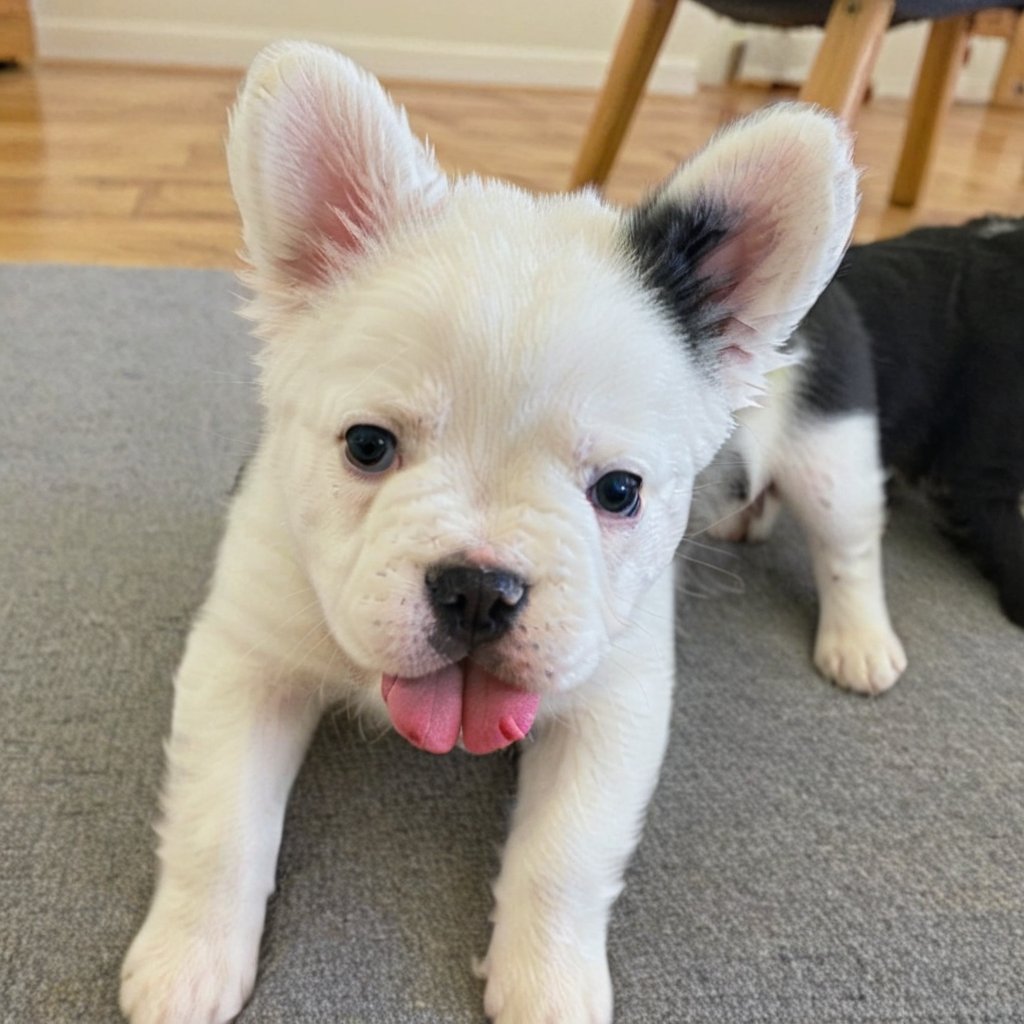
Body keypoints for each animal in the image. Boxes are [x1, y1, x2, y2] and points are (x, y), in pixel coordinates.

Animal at [117, 41, 856, 1024]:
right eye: (367, 446)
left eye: (619, 492)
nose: (477, 587)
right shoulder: (244, 661)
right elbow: (220, 825)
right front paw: (189, 961)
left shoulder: (613, 704)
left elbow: (565, 859)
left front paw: (548, 981)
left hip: (821, 460)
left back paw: (861, 640)